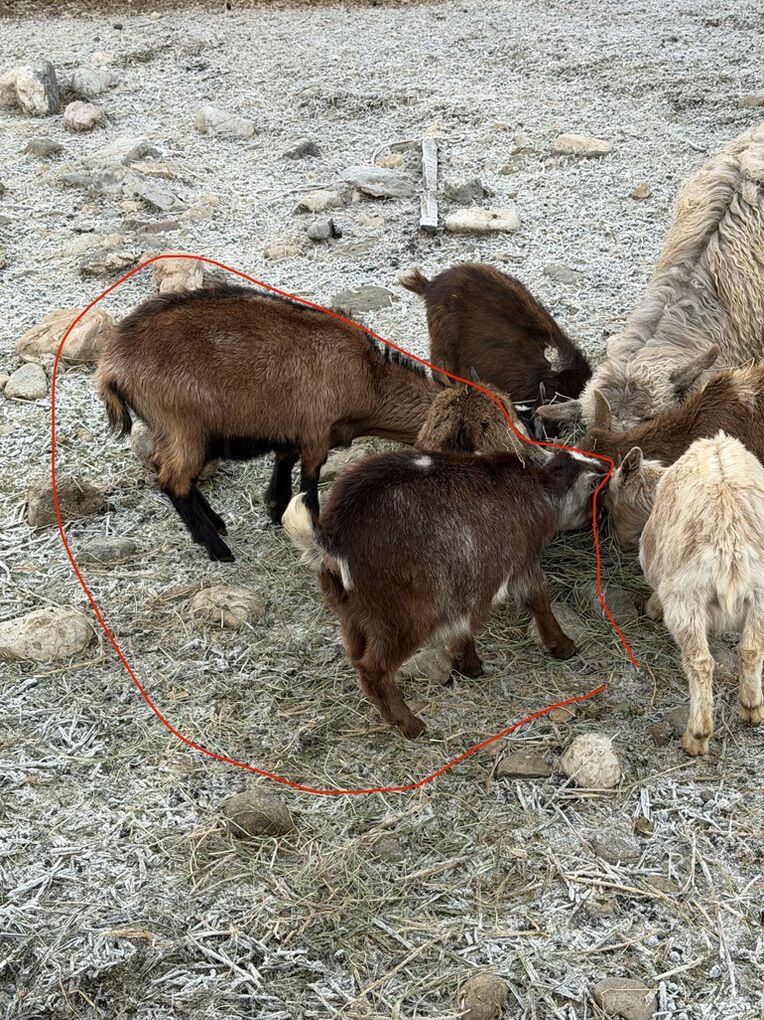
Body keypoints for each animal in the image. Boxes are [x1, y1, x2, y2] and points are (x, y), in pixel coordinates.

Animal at [95, 283, 442, 561]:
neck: (368, 379)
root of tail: (111, 366)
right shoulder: (316, 434)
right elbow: (309, 487)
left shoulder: (291, 430)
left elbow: (283, 466)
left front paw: (276, 511)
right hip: (185, 428)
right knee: (173, 480)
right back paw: (218, 548)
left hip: (170, 431)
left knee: (170, 473)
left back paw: (216, 525)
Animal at [283, 448, 604, 737]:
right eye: (593, 491)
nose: (598, 518)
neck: (538, 485)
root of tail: (331, 541)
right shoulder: (521, 562)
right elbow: (538, 599)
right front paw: (563, 646)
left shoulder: (462, 583)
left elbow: (460, 625)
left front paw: (468, 664)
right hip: (404, 616)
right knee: (374, 669)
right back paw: (410, 725)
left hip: (353, 614)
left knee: (356, 656)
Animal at [604, 433, 764, 755]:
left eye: (610, 497)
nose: (617, 540)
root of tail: (731, 548)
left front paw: (651, 609)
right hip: (761, 596)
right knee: (752, 649)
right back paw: (752, 708)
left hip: (685, 599)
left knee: (700, 662)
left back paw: (697, 735)